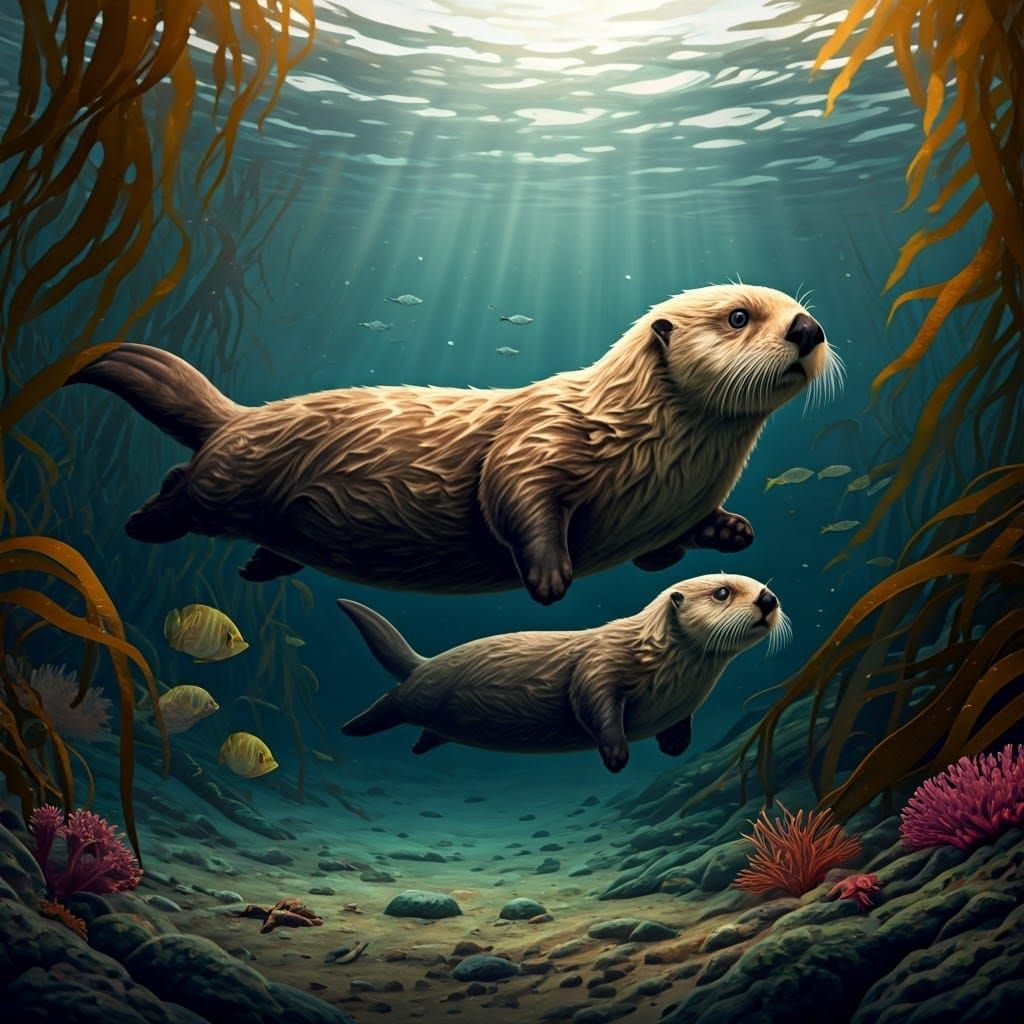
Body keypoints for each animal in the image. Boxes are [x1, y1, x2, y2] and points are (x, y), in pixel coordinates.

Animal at [68, 285, 837, 604]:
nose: (810, 329)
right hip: (230, 478)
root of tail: (237, 416)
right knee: (186, 485)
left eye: (799, 309)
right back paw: (144, 521)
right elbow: (513, 494)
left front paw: (732, 530)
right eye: (739, 316)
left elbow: (661, 557)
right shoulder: (539, 441)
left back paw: (262, 566)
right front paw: (549, 577)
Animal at [339, 574, 789, 773]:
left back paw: (418, 746)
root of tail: (423, 662)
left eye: (761, 585)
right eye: (722, 592)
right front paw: (616, 755)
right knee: (390, 703)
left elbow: (679, 724)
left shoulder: (681, 704)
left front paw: (675, 746)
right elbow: (592, 703)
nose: (769, 598)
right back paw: (352, 728)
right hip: (413, 695)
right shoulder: (600, 665)